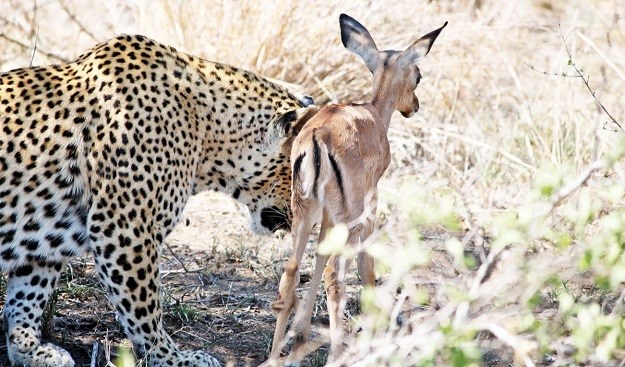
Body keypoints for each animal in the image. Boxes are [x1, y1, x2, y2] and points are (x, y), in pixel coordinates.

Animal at [0, 34, 312, 367]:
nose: (303, 217)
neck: (208, 132)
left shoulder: (45, 236)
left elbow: (28, 293)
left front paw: (28, 349)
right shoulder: (125, 228)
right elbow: (144, 307)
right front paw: (171, 357)